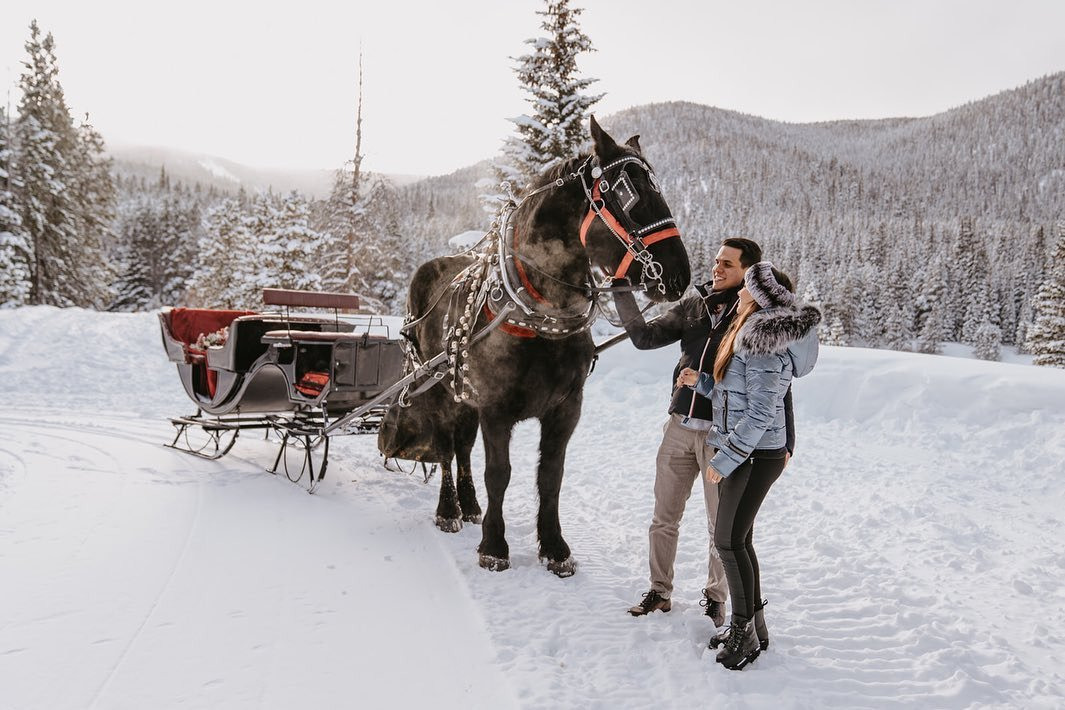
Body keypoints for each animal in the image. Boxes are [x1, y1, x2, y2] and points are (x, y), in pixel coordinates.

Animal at [383, 113, 690, 574]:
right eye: (627, 193)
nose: (679, 275)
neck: (536, 315)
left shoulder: (566, 408)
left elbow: (550, 476)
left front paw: (555, 547)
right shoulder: (495, 408)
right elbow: (500, 474)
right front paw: (494, 546)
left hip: (463, 394)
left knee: (461, 447)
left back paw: (469, 505)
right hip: (439, 389)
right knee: (445, 449)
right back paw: (449, 510)